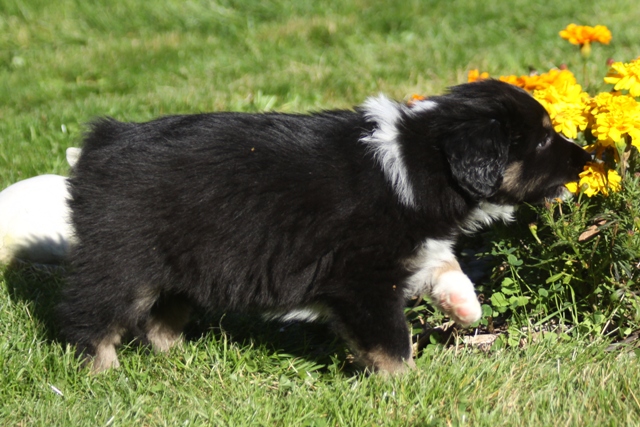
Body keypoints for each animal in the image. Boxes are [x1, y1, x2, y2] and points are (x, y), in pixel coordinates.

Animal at [58, 79, 590, 374]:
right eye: (543, 141)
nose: (586, 158)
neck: (418, 160)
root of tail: (102, 142)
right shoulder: (362, 278)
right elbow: (390, 340)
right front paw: (406, 383)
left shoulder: (406, 252)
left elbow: (443, 265)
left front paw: (466, 309)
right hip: (122, 259)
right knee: (92, 316)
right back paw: (101, 371)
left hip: (178, 262)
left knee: (161, 316)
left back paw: (180, 356)